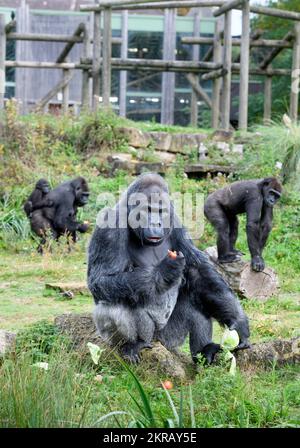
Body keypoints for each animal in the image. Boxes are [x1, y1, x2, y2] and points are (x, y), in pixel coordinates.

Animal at [86, 173, 248, 366]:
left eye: (161, 211)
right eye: (148, 210)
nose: (156, 223)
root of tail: (159, 343)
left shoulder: (176, 222)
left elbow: (199, 271)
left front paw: (239, 322)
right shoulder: (109, 226)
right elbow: (101, 280)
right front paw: (161, 273)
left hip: (170, 339)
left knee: (197, 299)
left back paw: (204, 351)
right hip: (152, 339)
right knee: (112, 302)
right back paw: (134, 343)